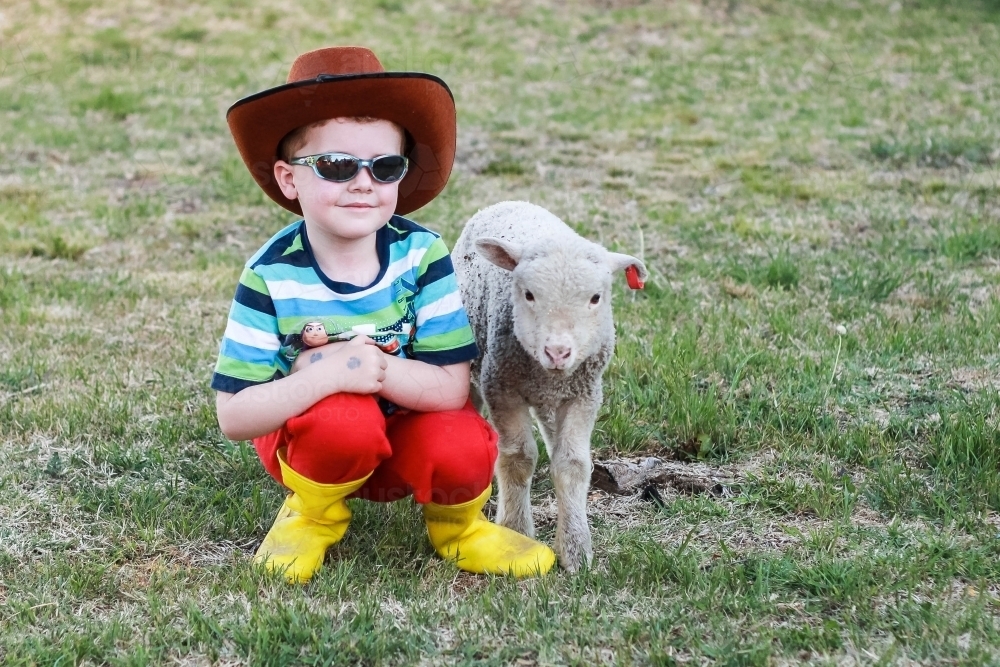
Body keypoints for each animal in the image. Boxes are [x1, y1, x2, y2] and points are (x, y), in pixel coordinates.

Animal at [454, 201, 648, 572]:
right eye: (528, 294)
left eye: (596, 298)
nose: (557, 351)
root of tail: (512, 202)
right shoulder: (502, 387)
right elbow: (518, 458)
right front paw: (517, 533)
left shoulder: (585, 394)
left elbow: (571, 463)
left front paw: (575, 549)